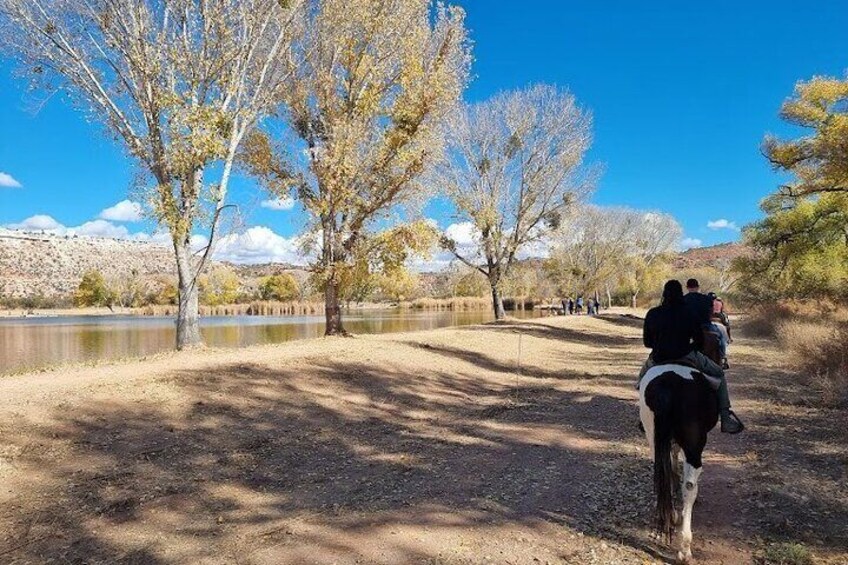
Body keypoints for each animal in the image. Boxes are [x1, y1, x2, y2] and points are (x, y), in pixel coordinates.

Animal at [640, 364, 720, 560]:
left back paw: (669, 516)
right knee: (690, 486)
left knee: (663, 474)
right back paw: (684, 548)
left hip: (653, 437)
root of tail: (668, 385)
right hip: (694, 447)